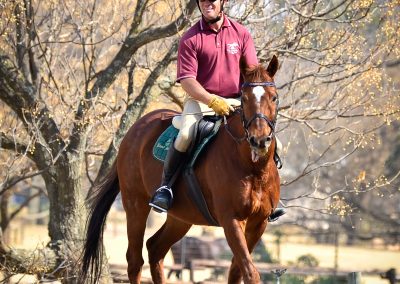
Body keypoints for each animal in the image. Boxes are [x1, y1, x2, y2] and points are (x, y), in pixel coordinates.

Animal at [80, 56, 282, 284]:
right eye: (245, 99)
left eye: (274, 98)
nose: (259, 140)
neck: (253, 167)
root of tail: (133, 131)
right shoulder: (231, 220)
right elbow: (250, 272)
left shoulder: (259, 223)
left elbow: (237, 271)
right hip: (135, 204)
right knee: (134, 260)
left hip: (181, 217)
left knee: (155, 248)